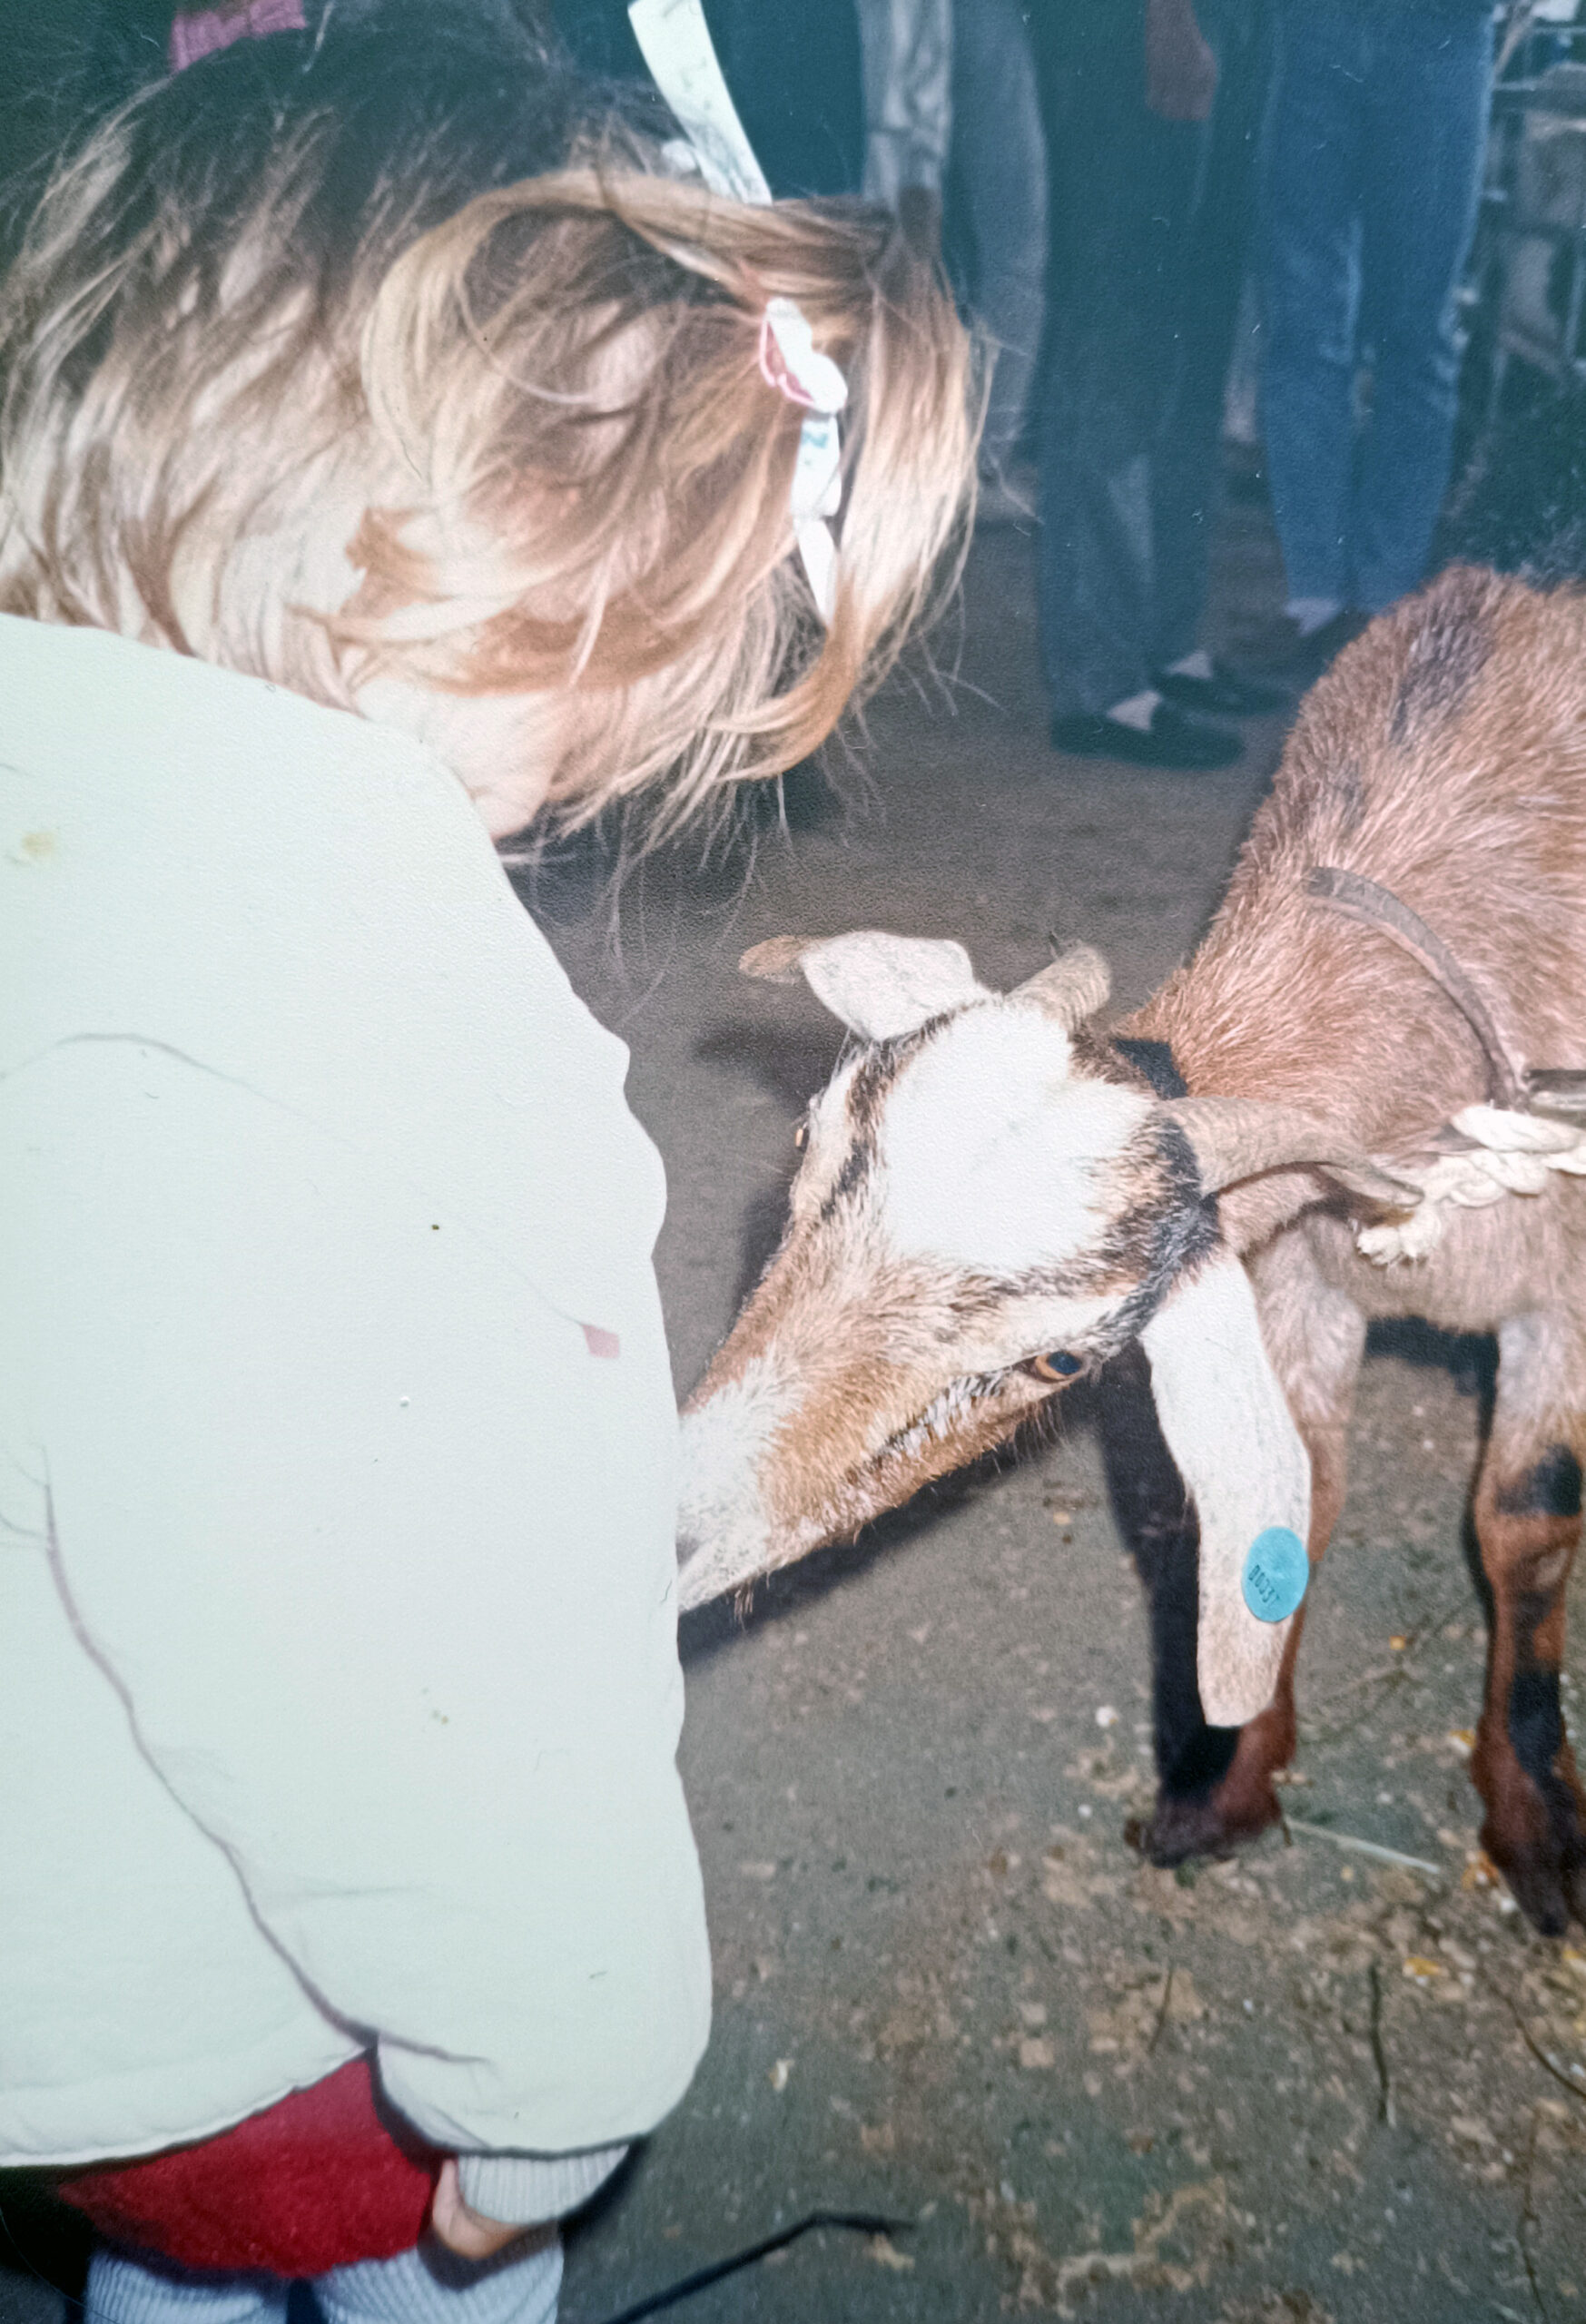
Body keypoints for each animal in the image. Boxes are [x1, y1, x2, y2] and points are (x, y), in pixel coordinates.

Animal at [674, 571, 1581, 1933]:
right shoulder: (1299, 1277)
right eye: (805, 1151)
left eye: (1061, 1363)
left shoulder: (1562, 1300)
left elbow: (1525, 1517)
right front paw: (1221, 1785)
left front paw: (1535, 1818)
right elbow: (1304, 1499)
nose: (662, 1526)